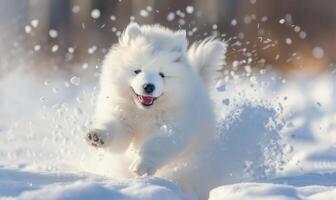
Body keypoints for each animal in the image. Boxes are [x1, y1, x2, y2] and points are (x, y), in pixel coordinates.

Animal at [86, 22, 227, 176]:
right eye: (137, 71)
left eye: (162, 74)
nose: (149, 86)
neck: (144, 112)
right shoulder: (120, 116)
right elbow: (113, 128)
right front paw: (96, 136)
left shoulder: (173, 128)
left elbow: (155, 145)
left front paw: (142, 165)